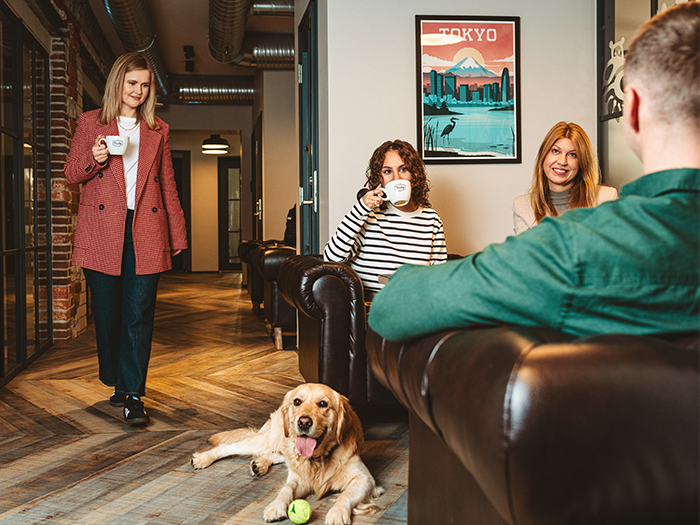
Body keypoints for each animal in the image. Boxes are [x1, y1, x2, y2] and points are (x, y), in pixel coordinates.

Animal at [191, 380, 382, 524]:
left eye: (323, 404)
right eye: (297, 401)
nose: (303, 422)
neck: (317, 459)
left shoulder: (365, 479)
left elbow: (345, 495)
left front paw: (337, 513)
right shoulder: (298, 478)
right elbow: (286, 490)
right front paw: (275, 506)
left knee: (274, 455)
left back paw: (259, 464)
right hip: (268, 440)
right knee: (227, 447)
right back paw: (203, 458)